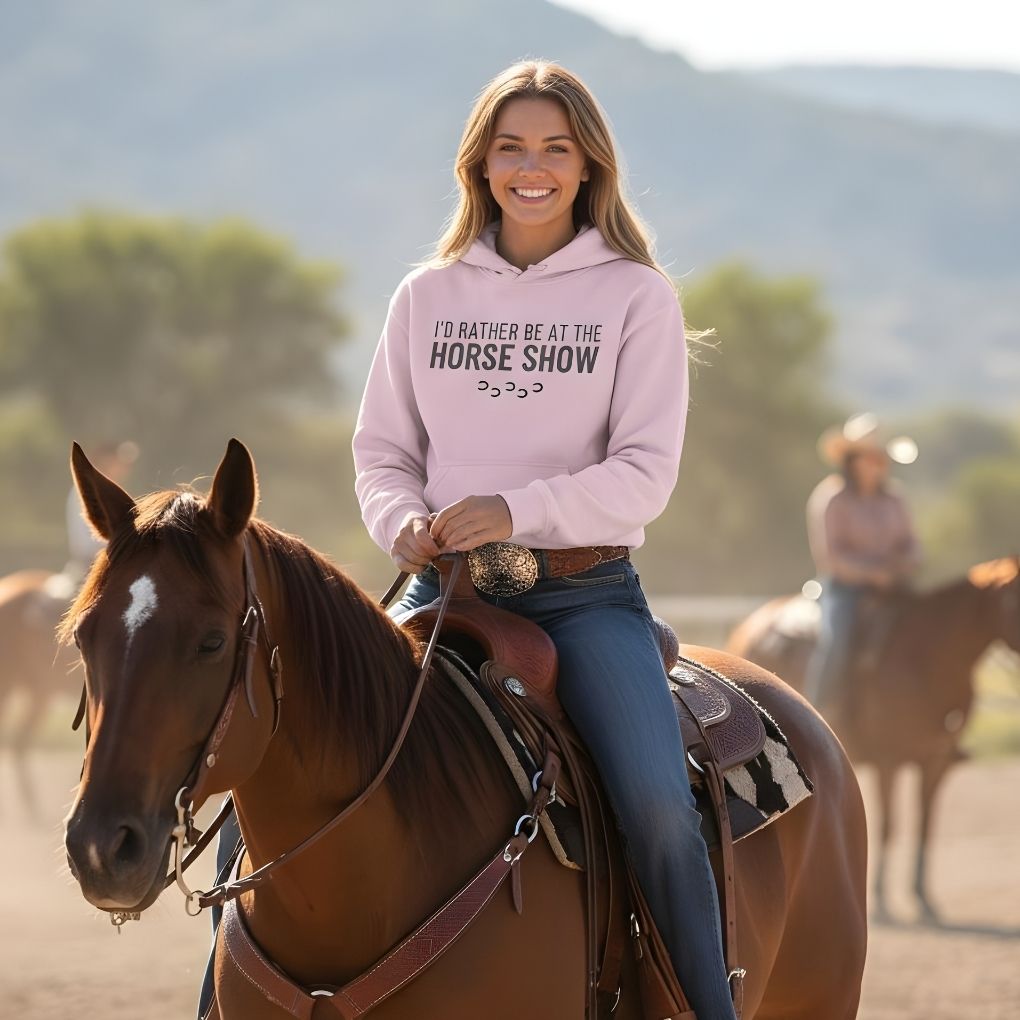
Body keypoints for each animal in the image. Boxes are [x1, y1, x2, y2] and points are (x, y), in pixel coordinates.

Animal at [726, 558, 1020, 923]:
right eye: (1015, 598)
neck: (926, 660)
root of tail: (752, 624)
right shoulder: (888, 761)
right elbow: (890, 824)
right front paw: (881, 897)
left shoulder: (936, 763)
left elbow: (924, 823)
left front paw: (922, 897)